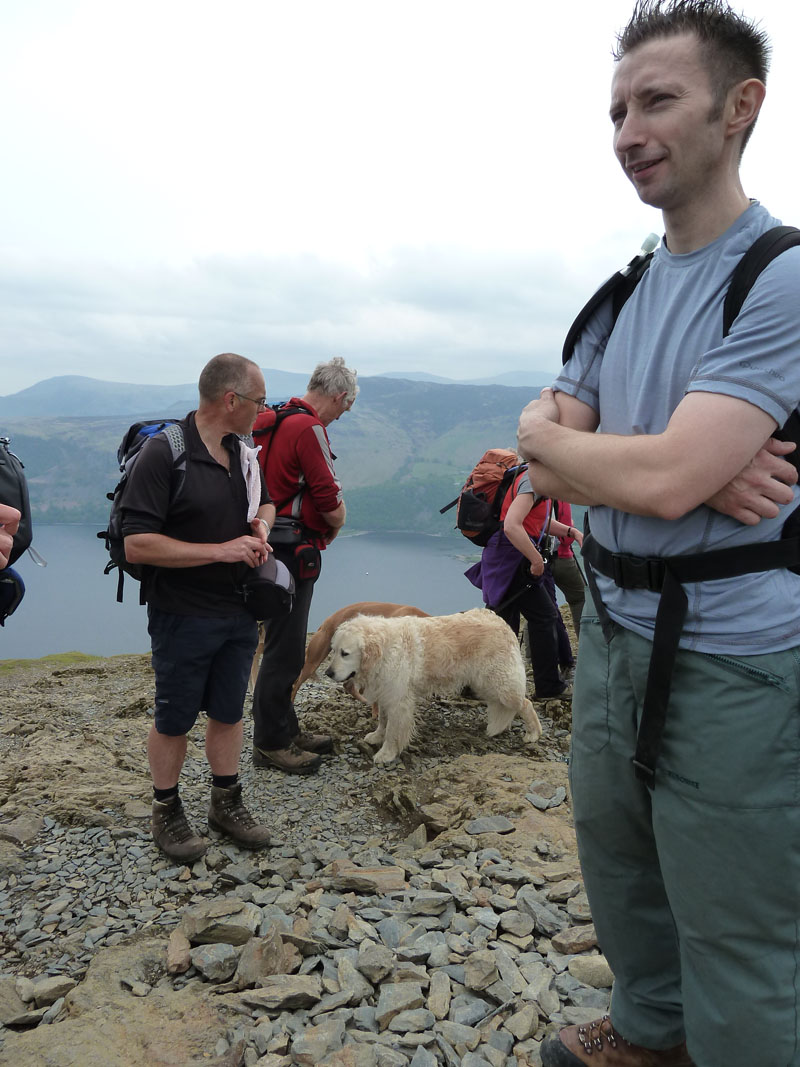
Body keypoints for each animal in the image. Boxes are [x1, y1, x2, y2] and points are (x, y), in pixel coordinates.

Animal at [326, 606, 546, 763]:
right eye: (333, 650)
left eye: (345, 653)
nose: (328, 673)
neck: (385, 648)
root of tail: (501, 622)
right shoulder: (386, 693)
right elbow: (383, 721)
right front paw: (376, 736)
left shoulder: (398, 700)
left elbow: (392, 730)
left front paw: (386, 753)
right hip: (486, 684)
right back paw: (501, 727)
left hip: (498, 681)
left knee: (525, 704)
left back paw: (533, 733)